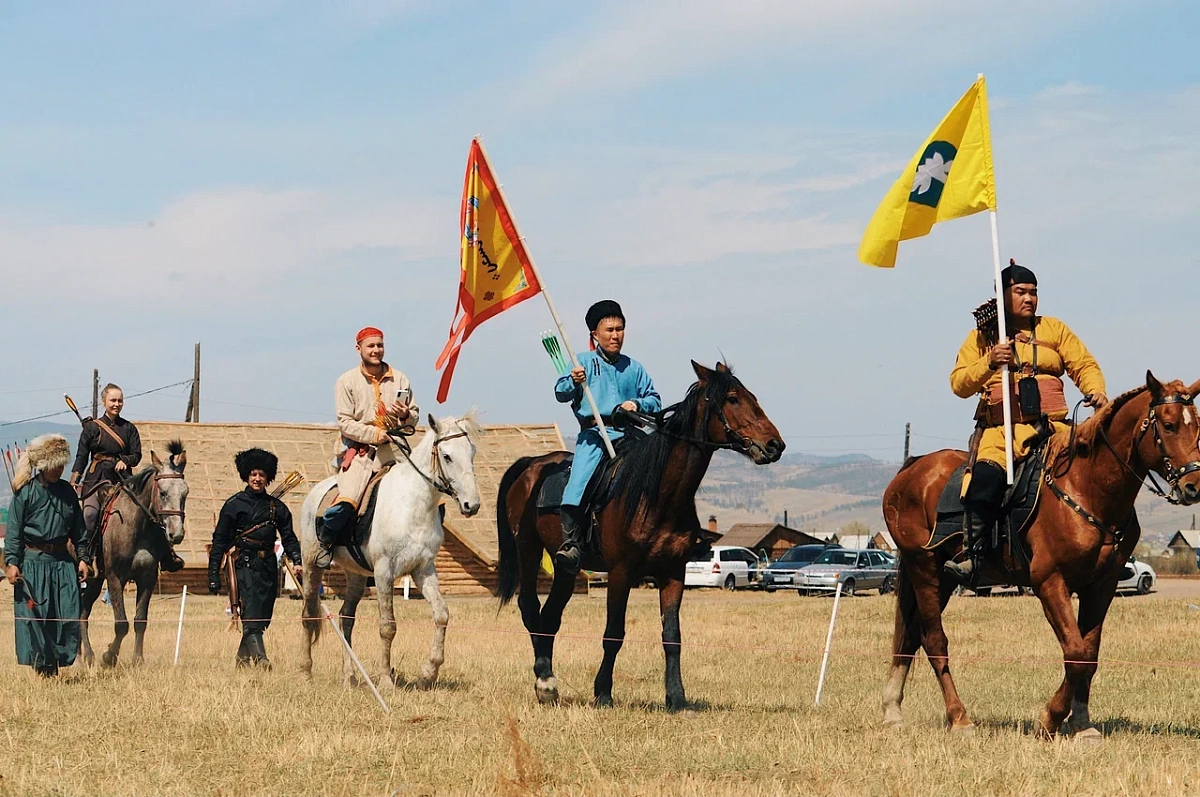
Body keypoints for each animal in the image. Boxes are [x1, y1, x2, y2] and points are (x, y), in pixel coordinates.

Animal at [79, 441, 187, 667]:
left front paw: (137, 658)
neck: (137, 524)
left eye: (185, 493)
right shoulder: (114, 578)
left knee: (82, 612)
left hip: (94, 581)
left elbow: (140, 620)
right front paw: (109, 656)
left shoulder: (147, 578)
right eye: (163, 492)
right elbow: (121, 623)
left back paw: (85, 655)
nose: (176, 534)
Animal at [300, 412, 482, 686]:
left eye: (471, 452)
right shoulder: (384, 572)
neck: (412, 505)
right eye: (447, 456)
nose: (472, 505)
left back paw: (349, 676)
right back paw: (306, 672)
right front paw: (386, 679)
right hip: (312, 566)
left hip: (356, 575)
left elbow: (441, 614)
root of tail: (316, 493)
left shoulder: (423, 570)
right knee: (308, 614)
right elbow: (388, 626)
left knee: (346, 618)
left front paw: (429, 672)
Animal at [492, 362, 782, 710]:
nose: (774, 445)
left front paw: (677, 698)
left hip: (566, 567)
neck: (656, 493)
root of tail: (531, 465)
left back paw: (548, 682)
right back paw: (544, 680)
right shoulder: (621, 573)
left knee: (550, 616)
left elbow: (672, 636)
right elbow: (613, 634)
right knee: (530, 607)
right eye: (733, 399)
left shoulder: (673, 572)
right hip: (528, 549)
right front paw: (603, 692)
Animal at [883, 374, 1200, 739]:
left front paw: (1082, 724)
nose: (1194, 486)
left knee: (911, 636)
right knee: (934, 640)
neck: (1086, 487)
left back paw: (893, 710)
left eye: (1197, 425)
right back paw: (959, 718)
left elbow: (1088, 653)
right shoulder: (1049, 582)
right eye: (1169, 425)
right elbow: (1075, 651)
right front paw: (1050, 719)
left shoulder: (1101, 586)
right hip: (924, 569)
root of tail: (910, 470)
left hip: (942, 579)